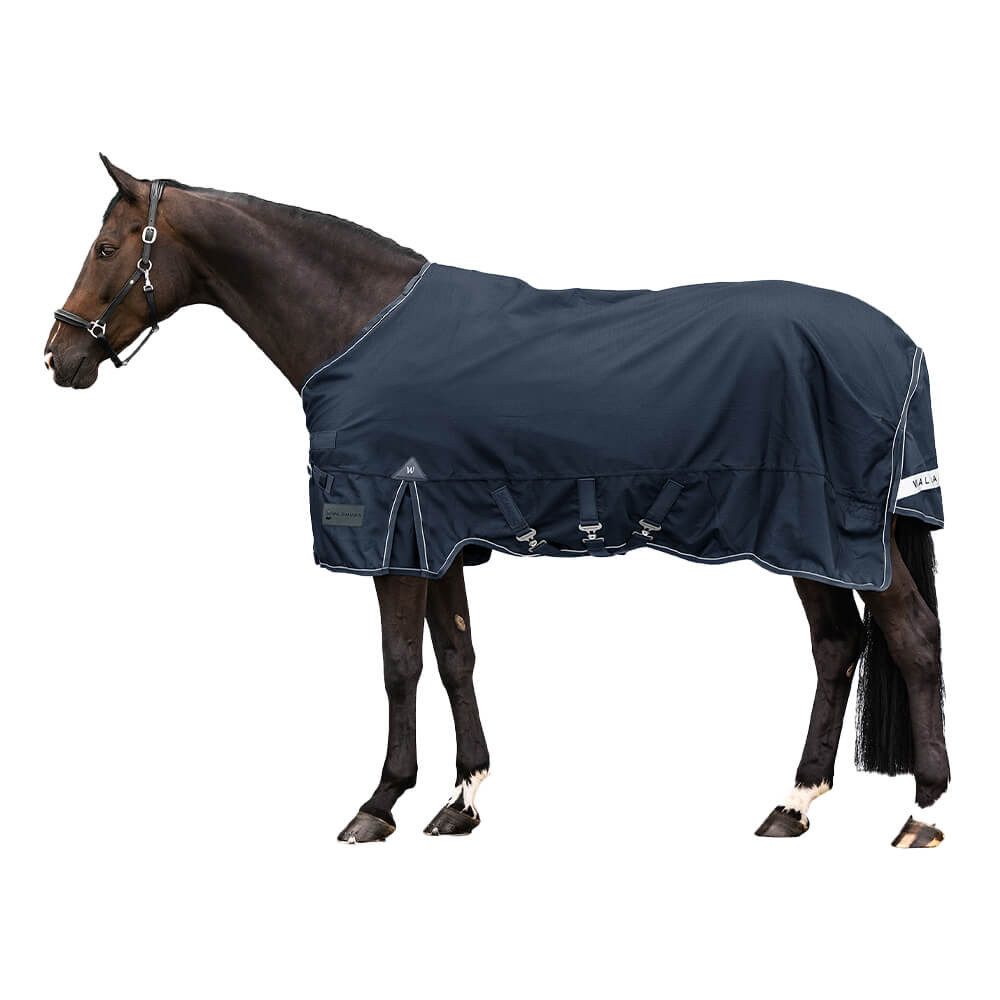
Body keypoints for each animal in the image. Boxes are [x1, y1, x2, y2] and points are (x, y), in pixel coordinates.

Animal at [45, 156, 950, 848]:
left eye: (105, 247)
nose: (57, 356)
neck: (358, 324)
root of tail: (901, 345)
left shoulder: (392, 536)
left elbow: (399, 667)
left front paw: (380, 804)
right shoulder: (436, 533)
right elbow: (455, 658)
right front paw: (461, 800)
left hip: (837, 532)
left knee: (909, 636)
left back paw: (923, 813)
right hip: (807, 542)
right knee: (836, 647)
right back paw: (793, 804)